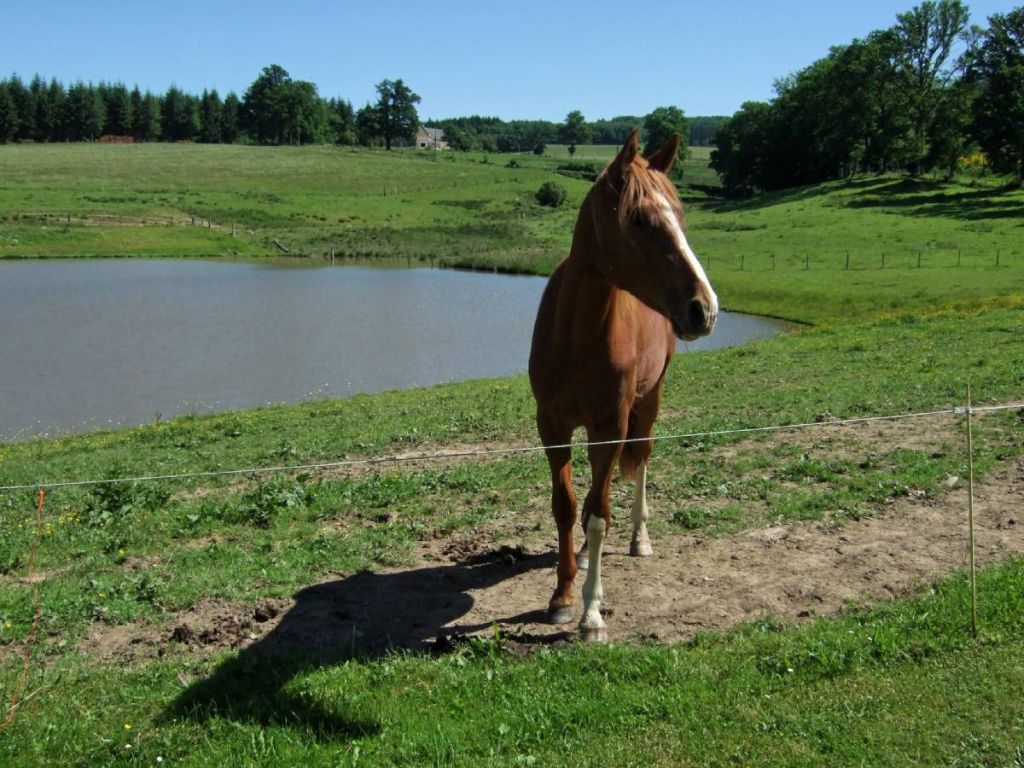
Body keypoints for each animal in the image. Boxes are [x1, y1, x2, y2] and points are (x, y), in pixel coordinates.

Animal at [528, 129, 720, 638]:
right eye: (638, 218)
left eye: (681, 215)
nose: (704, 308)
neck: (578, 335)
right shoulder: (552, 426)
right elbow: (566, 506)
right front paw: (561, 594)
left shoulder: (610, 425)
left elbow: (597, 515)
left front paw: (591, 613)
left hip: (647, 402)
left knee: (640, 463)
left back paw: (639, 537)